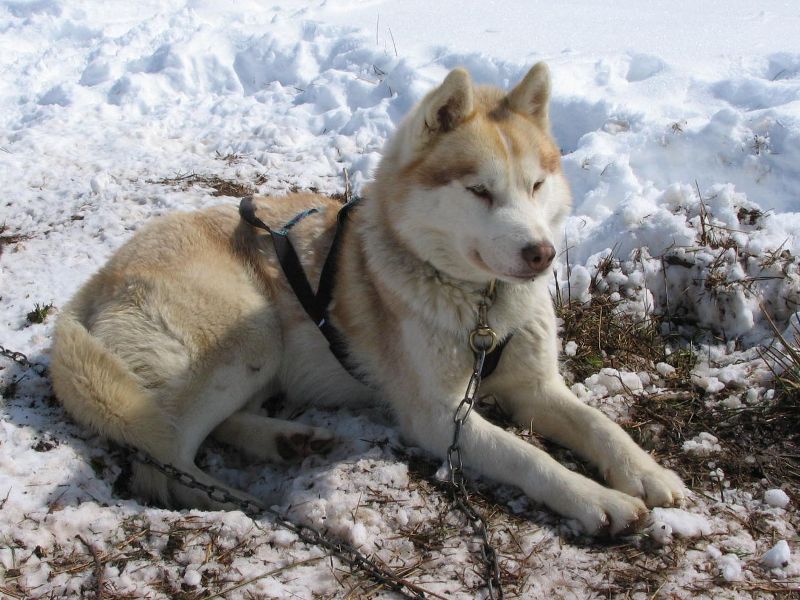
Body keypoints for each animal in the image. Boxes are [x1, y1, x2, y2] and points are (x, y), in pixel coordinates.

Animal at [53, 64, 684, 536]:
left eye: (536, 184)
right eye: (479, 190)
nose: (542, 254)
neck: (481, 308)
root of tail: (89, 287)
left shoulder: (535, 386)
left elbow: (600, 425)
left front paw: (647, 473)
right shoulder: (439, 418)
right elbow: (530, 456)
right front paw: (597, 499)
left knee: (213, 426)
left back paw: (286, 440)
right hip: (250, 338)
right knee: (162, 460)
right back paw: (243, 500)